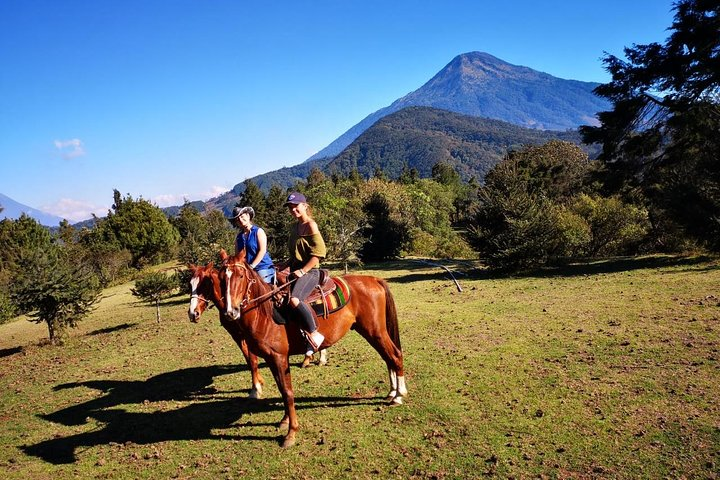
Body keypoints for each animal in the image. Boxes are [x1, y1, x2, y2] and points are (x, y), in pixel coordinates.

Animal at [222, 249, 408, 448]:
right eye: (222, 278)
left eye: (241, 276)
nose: (230, 312)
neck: (266, 313)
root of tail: (374, 279)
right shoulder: (272, 359)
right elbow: (282, 389)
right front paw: (285, 421)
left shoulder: (279, 357)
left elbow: (287, 392)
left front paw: (291, 433)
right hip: (371, 331)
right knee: (387, 358)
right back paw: (392, 392)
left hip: (376, 331)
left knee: (395, 355)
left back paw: (399, 395)